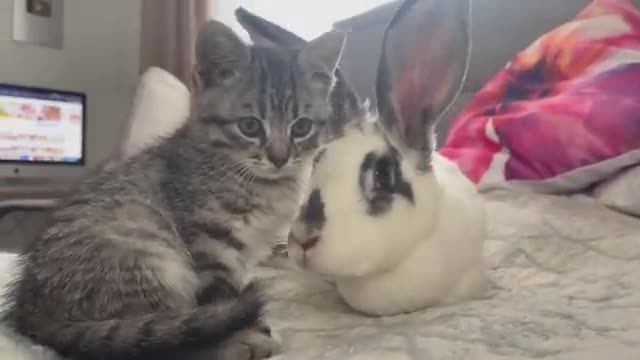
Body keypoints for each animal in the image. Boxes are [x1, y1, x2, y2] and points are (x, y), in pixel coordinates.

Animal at [2, 14, 358, 360]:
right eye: (250, 126)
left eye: (302, 127)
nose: (280, 158)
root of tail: (32, 312)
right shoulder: (211, 243)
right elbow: (219, 302)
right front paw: (246, 334)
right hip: (152, 254)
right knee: (162, 339)